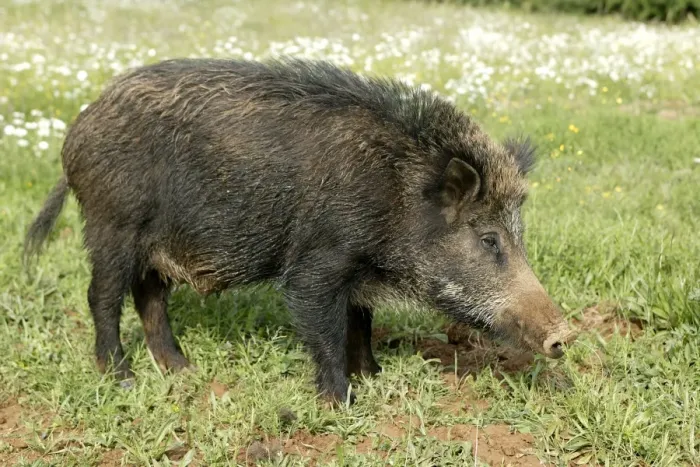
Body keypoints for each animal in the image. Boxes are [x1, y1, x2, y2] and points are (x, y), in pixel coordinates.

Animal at [23, 57, 577, 404]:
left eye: (519, 232)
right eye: (488, 239)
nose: (565, 334)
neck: (396, 194)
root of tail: (76, 130)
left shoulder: (358, 273)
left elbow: (361, 322)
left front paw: (373, 376)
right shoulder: (319, 262)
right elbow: (325, 326)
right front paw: (342, 400)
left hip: (156, 243)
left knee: (150, 297)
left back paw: (183, 370)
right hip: (112, 224)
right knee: (102, 296)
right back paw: (123, 378)